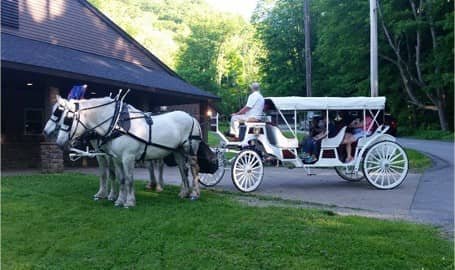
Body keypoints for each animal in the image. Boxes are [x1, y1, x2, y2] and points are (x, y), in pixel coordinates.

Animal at [54, 95, 201, 207]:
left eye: (68, 119)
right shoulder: (117, 158)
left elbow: (129, 179)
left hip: (190, 151)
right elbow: (121, 179)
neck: (117, 124)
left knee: (194, 170)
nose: (59, 143)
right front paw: (119, 200)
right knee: (183, 170)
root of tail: (192, 117)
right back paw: (184, 193)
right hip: (178, 151)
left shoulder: (128, 158)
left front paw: (129, 202)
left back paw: (194, 194)